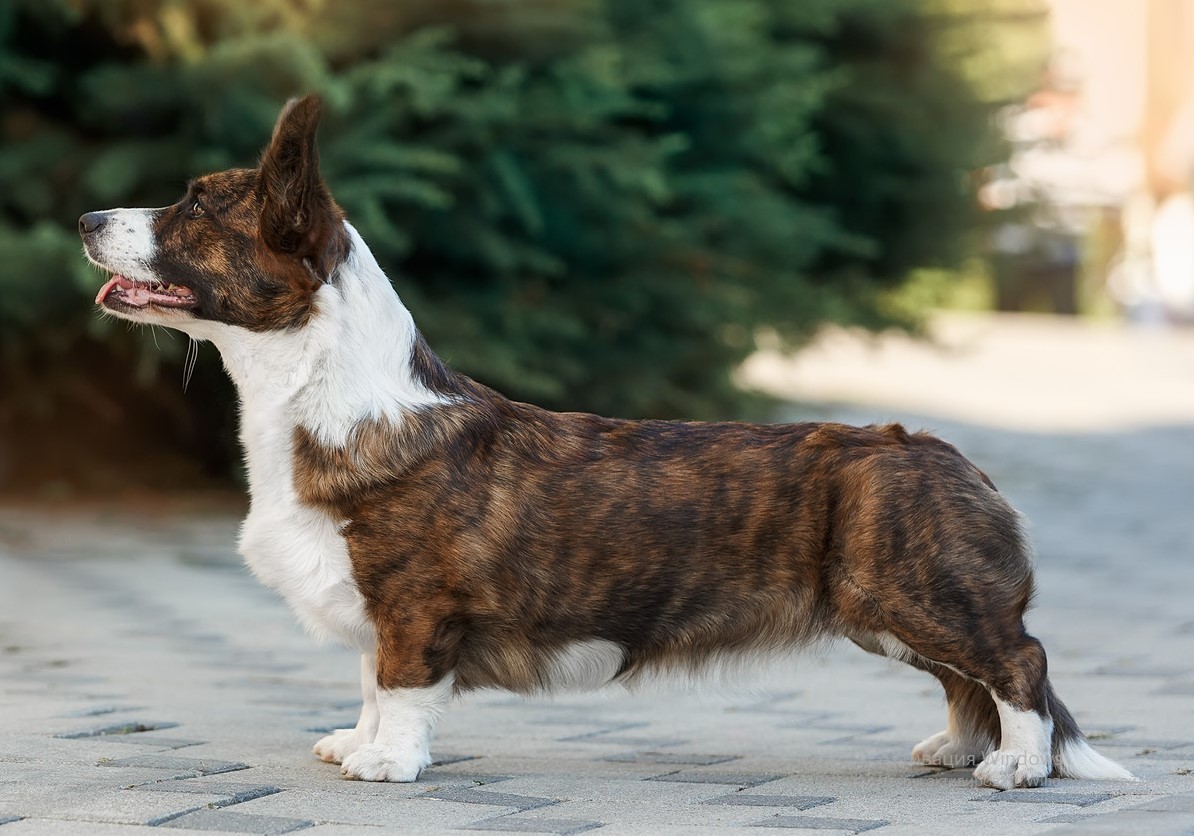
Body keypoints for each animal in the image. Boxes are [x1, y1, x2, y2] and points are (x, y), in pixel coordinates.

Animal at [79, 94, 1131, 788]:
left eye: (194, 206)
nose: (85, 216)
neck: (321, 395)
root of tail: (955, 459)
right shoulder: (376, 611)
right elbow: (370, 681)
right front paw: (356, 742)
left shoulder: (414, 606)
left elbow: (402, 684)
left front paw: (387, 764)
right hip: (888, 609)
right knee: (969, 678)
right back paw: (961, 750)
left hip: (913, 592)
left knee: (1019, 662)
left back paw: (1017, 768)